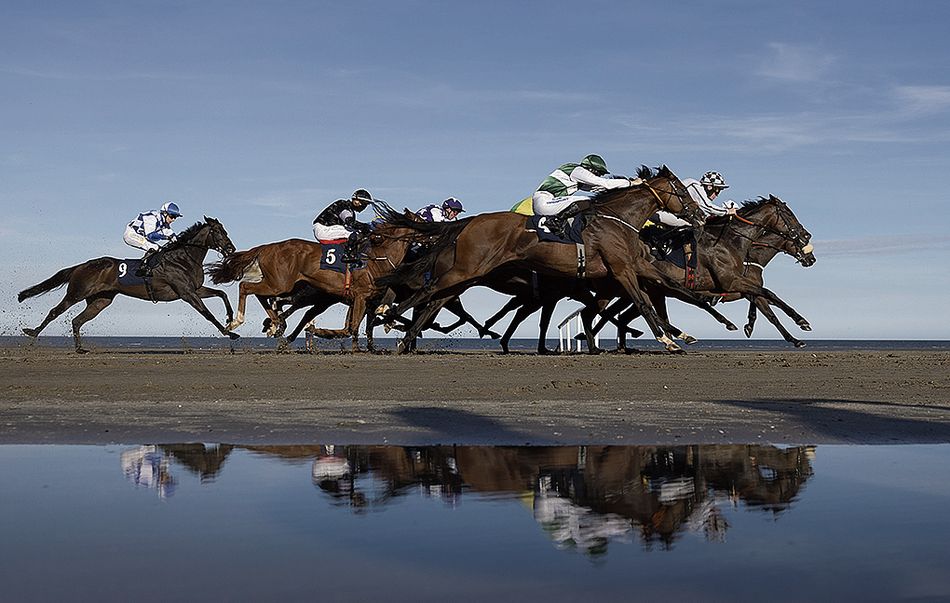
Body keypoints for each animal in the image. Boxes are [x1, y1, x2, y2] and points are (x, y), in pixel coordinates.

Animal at [17, 217, 238, 353]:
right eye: (218, 231)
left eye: (225, 230)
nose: (231, 249)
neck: (183, 258)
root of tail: (81, 265)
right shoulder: (186, 293)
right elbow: (207, 314)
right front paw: (230, 332)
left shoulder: (196, 289)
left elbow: (222, 294)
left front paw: (230, 319)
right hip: (77, 293)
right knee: (55, 311)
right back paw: (32, 333)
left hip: (100, 300)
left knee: (77, 320)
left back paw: (80, 349)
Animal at [378, 166, 737, 353]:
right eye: (681, 190)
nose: (699, 215)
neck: (619, 219)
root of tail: (471, 221)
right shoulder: (621, 271)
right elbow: (643, 302)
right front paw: (666, 339)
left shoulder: (638, 267)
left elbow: (680, 293)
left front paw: (699, 328)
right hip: (466, 269)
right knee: (427, 292)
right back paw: (389, 316)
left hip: (469, 274)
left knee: (436, 298)